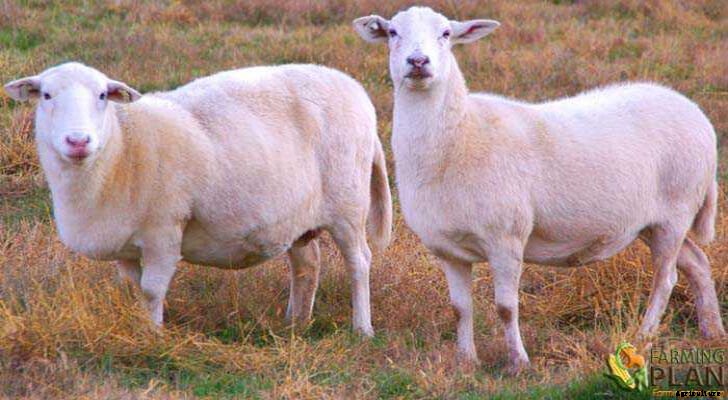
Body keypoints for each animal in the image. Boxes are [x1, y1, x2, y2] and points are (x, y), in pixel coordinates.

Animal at [4, 62, 392, 336]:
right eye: (46, 96)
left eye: (102, 96)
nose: (78, 141)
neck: (121, 148)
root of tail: (354, 88)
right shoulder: (125, 246)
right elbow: (132, 290)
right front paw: (139, 327)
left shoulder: (164, 230)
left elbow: (151, 291)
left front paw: (154, 336)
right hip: (296, 217)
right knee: (308, 264)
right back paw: (296, 323)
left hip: (348, 203)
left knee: (359, 262)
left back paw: (362, 328)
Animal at [354, 6, 724, 373]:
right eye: (392, 33)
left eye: (446, 33)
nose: (418, 62)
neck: (459, 136)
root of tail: (694, 111)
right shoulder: (448, 249)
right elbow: (460, 308)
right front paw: (466, 360)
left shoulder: (506, 238)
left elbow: (506, 307)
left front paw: (518, 363)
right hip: (652, 222)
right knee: (697, 262)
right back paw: (713, 331)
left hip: (676, 210)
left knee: (666, 278)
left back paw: (644, 335)